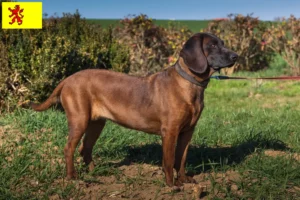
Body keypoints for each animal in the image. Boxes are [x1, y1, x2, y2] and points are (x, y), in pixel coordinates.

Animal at [29, 32, 237, 188]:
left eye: (223, 43)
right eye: (213, 46)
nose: (236, 56)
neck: (189, 84)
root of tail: (68, 79)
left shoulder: (187, 131)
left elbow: (182, 158)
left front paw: (184, 180)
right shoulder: (170, 131)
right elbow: (169, 160)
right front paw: (171, 185)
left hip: (96, 123)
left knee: (85, 148)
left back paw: (96, 172)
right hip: (79, 120)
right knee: (69, 148)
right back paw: (73, 177)